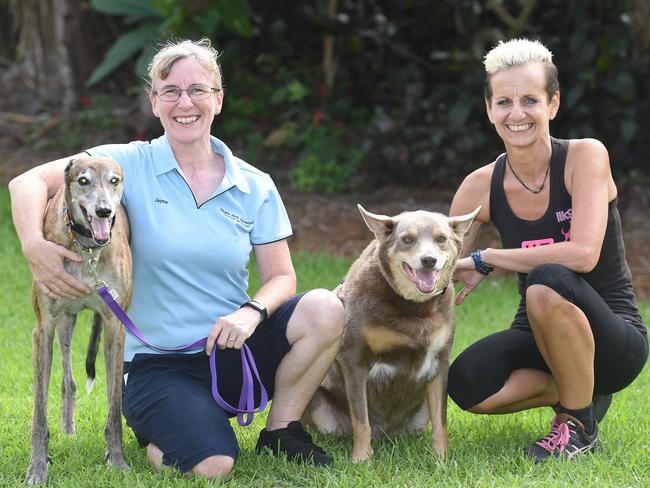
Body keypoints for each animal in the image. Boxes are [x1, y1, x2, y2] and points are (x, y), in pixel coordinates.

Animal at [26, 157, 130, 484]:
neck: (88, 249)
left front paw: (117, 461)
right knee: (68, 379)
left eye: (114, 180)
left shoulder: (114, 326)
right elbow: (39, 414)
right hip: (65, 323)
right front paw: (37, 468)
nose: (104, 211)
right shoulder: (43, 329)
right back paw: (68, 429)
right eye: (83, 180)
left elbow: (114, 407)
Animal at [302, 204, 476, 464]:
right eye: (407, 239)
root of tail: (386, 433)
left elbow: (441, 422)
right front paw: (362, 460)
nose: (429, 260)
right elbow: (361, 420)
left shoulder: (440, 363)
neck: (412, 307)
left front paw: (441, 460)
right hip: (317, 400)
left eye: (441, 239)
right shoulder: (354, 360)